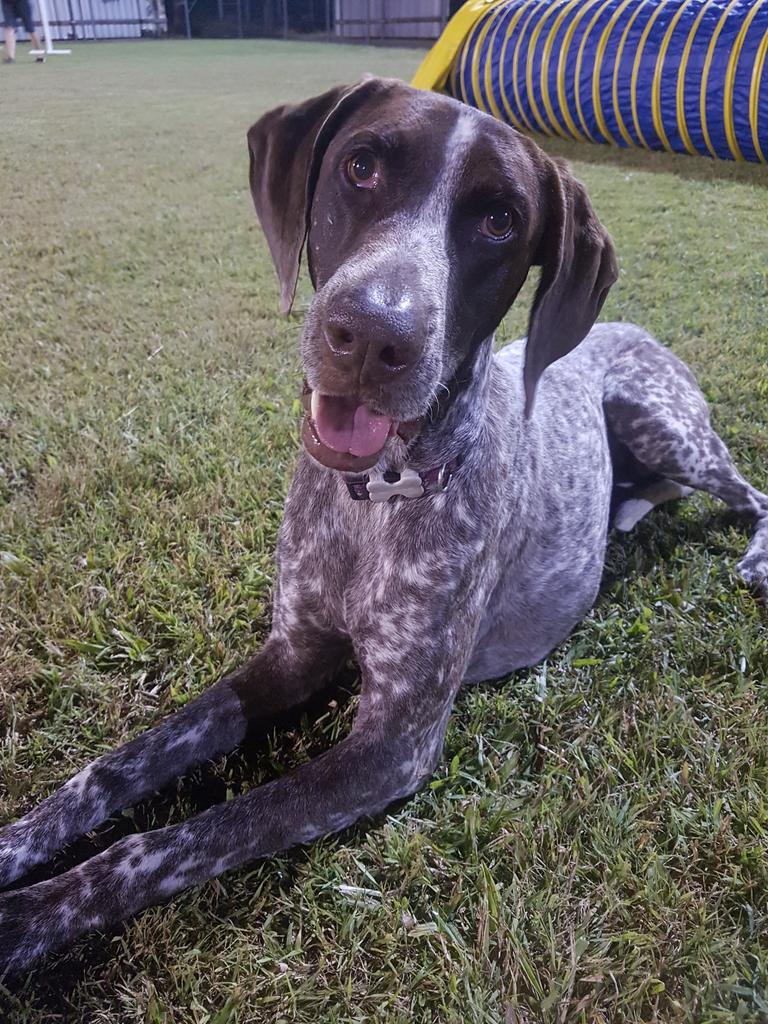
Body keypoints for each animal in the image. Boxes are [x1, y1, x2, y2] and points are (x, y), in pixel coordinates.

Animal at [1, 75, 768, 970]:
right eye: (360, 166)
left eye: (500, 220)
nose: (370, 334)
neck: (375, 496)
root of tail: (629, 326)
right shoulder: (291, 654)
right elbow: (120, 767)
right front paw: (19, 842)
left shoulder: (391, 743)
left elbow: (184, 838)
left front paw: (27, 917)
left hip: (658, 416)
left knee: (748, 491)